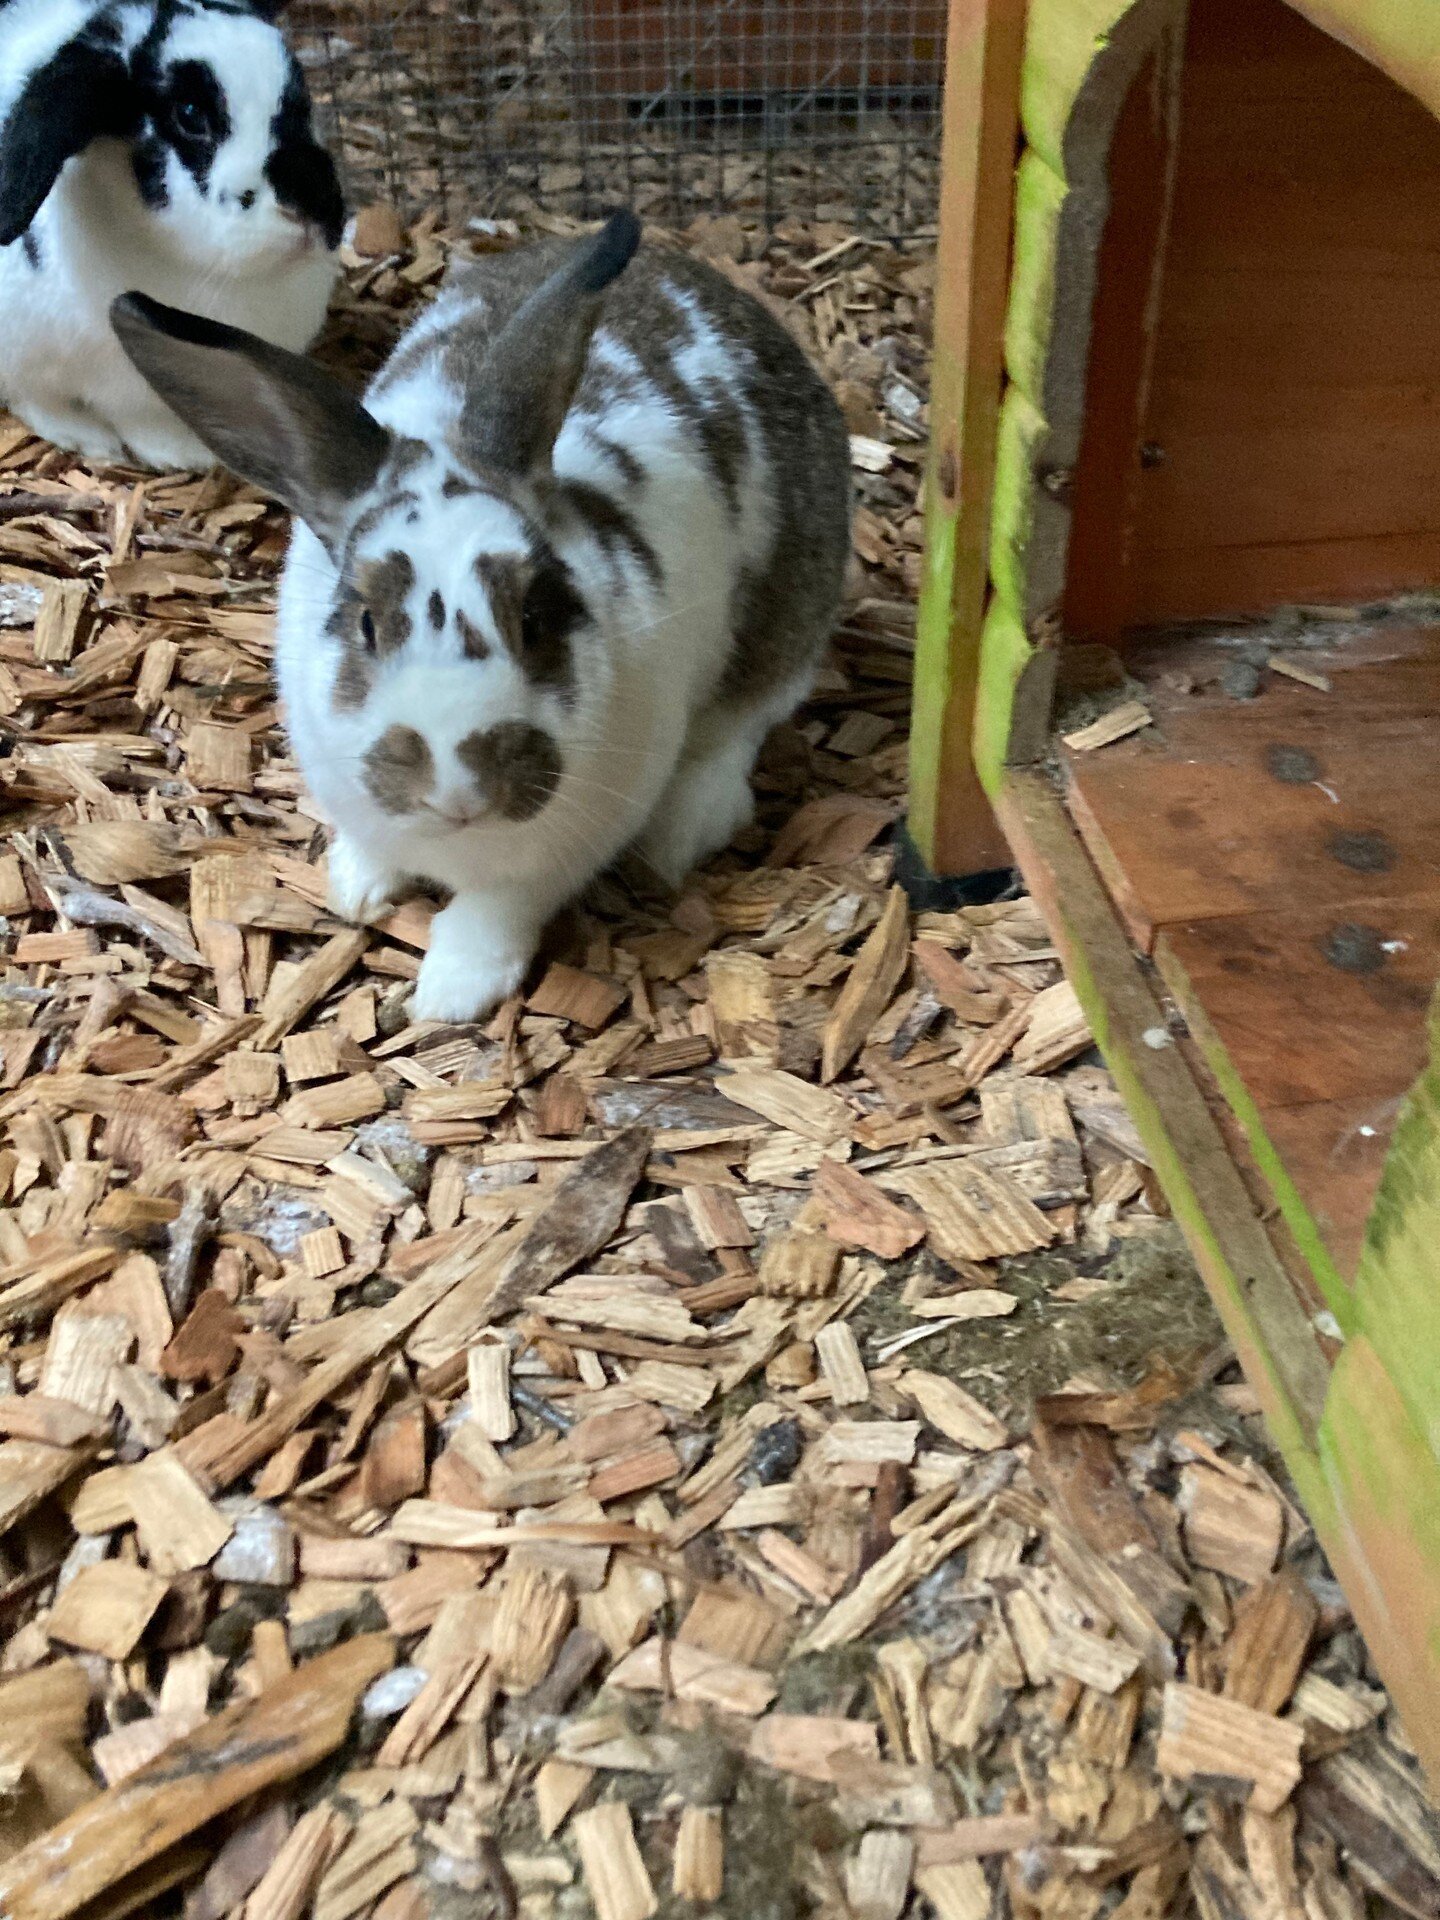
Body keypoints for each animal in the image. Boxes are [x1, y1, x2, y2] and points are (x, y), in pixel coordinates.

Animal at [115, 217, 856, 1029]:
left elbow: (497, 910)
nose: (458, 787)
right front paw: (355, 890)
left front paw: (450, 993)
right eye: (367, 622)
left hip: (788, 615)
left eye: (533, 617)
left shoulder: (560, 851)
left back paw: (682, 831)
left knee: (743, 723)